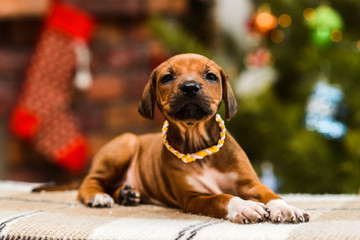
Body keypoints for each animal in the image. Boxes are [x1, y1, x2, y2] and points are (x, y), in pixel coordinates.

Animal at [78, 53, 310, 224]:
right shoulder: (193, 198)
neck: (199, 144)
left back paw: (127, 194)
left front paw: (286, 208)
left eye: (211, 76)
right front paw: (244, 206)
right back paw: (98, 197)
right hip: (126, 142)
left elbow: (271, 194)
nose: (190, 87)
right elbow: (222, 198)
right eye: (167, 77)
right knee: (89, 183)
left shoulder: (250, 183)